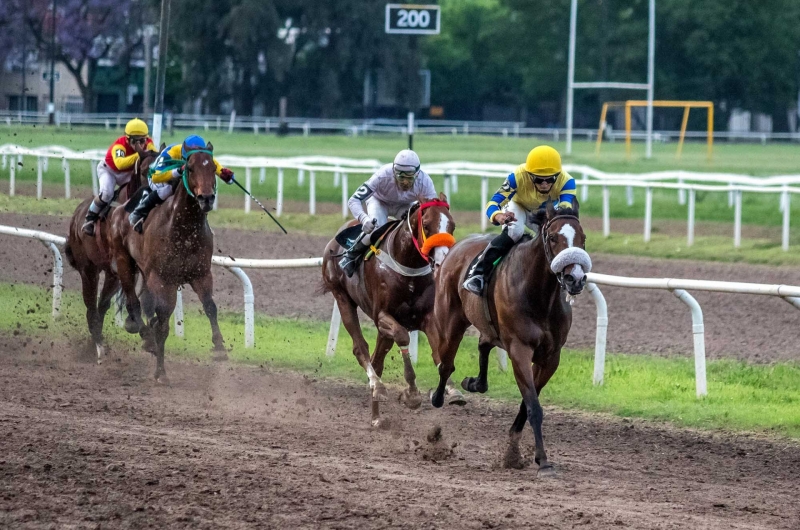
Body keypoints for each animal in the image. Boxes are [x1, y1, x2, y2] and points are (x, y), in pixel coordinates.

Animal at [65, 148, 161, 364]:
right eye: (144, 171)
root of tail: (76, 216)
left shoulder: (141, 265)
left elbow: (147, 298)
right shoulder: (123, 263)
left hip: (111, 275)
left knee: (101, 306)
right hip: (88, 270)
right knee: (91, 309)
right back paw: (99, 348)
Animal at [106, 139, 225, 380]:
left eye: (213, 168)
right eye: (190, 168)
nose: (206, 198)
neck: (183, 229)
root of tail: (121, 209)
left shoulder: (201, 273)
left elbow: (210, 306)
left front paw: (219, 347)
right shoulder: (162, 279)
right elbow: (162, 321)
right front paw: (160, 371)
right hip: (124, 262)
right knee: (133, 301)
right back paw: (144, 333)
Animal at [322, 193, 462, 424]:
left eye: (452, 225)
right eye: (426, 224)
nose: (442, 261)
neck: (408, 267)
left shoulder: (425, 317)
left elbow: (439, 352)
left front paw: (451, 390)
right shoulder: (383, 315)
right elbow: (403, 337)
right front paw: (412, 394)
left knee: (377, 360)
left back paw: (377, 417)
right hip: (342, 297)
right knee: (361, 348)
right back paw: (377, 388)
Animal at [428, 200, 592, 472]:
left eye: (583, 238)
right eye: (553, 237)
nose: (575, 278)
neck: (539, 297)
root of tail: (456, 247)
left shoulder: (551, 357)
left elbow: (527, 404)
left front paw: (516, 451)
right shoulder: (519, 349)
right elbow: (534, 406)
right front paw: (542, 461)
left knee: (483, 344)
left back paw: (475, 382)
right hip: (451, 321)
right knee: (446, 364)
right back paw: (439, 397)